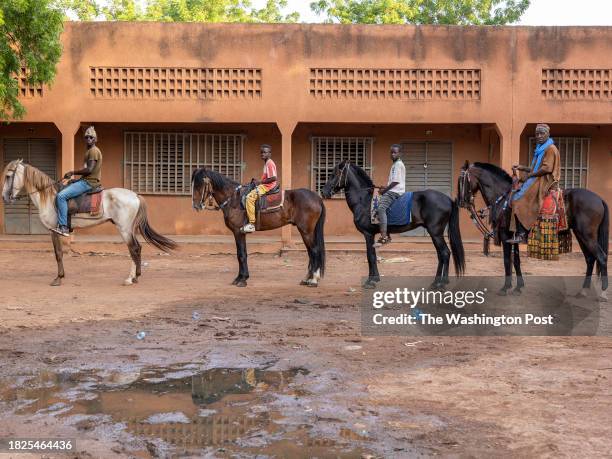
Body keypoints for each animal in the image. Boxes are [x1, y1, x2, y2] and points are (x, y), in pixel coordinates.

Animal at [2, 160, 176, 286]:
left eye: (9, 176)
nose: (4, 197)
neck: (49, 197)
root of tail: (135, 195)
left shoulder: (54, 231)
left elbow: (58, 254)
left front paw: (58, 278)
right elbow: (59, 254)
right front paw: (60, 277)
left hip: (124, 229)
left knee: (133, 248)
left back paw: (130, 279)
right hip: (128, 229)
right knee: (137, 248)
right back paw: (134, 277)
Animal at [191, 169, 326, 288]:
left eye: (199, 185)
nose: (196, 206)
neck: (233, 199)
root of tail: (316, 197)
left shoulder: (238, 232)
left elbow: (241, 255)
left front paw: (242, 279)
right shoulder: (239, 233)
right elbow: (242, 254)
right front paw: (240, 277)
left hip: (306, 231)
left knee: (314, 251)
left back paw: (313, 280)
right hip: (306, 231)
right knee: (311, 252)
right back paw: (307, 278)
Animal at [320, 161, 464, 288]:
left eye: (334, 174)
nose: (323, 192)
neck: (364, 200)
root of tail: (448, 199)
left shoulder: (368, 234)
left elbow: (370, 256)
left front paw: (370, 281)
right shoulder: (371, 235)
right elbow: (373, 255)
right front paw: (375, 279)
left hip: (436, 233)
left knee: (445, 253)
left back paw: (441, 283)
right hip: (435, 234)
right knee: (441, 255)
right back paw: (436, 282)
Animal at [460, 162, 608, 302]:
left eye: (462, 181)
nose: (463, 202)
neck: (503, 198)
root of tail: (599, 199)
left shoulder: (505, 235)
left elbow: (507, 260)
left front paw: (505, 288)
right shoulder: (513, 237)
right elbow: (516, 261)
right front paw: (518, 287)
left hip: (587, 235)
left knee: (601, 257)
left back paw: (603, 293)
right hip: (580, 234)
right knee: (590, 259)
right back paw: (583, 291)